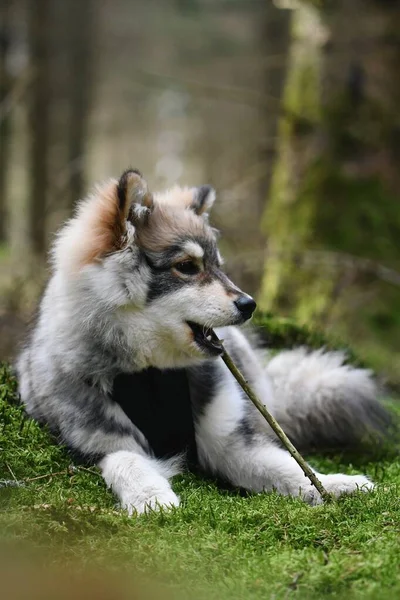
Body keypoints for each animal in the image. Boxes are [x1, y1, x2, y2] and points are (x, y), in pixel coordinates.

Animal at [16, 170, 390, 516]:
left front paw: (334, 483)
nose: (250, 304)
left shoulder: (229, 444)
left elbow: (288, 466)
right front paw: (151, 498)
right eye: (186, 266)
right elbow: (130, 464)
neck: (152, 372)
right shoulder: (105, 443)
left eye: (218, 267)